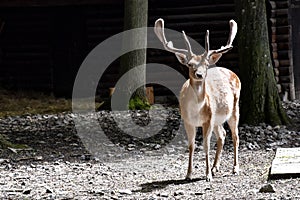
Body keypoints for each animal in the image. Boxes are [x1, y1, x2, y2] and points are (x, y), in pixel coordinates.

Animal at [155, 18, 241, 181]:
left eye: (206, 64)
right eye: (190, 64)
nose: (199, 74)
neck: (196, 110)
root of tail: (234, 73)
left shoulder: (208, 119)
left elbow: (206, 145)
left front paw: (207, 175)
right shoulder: (187, 120)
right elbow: (191, 145)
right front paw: (188, 174)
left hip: (234, 108)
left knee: (235, 136)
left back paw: (235, 168)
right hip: (217, 119)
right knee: (222, 135)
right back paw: (215, 167)